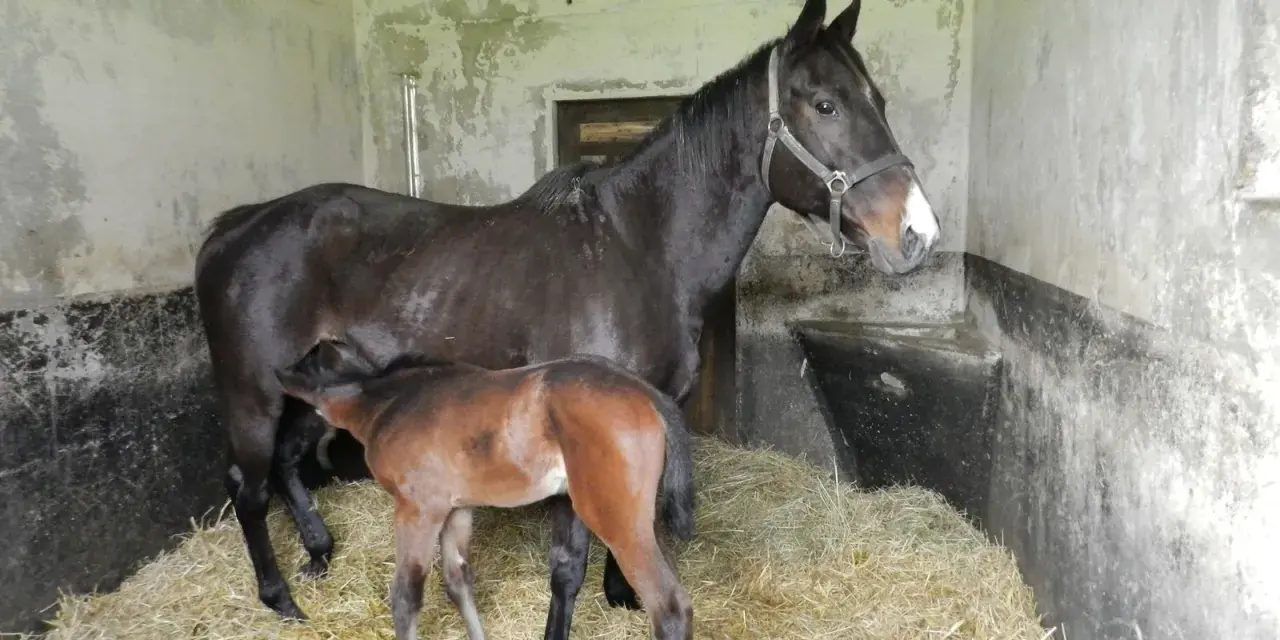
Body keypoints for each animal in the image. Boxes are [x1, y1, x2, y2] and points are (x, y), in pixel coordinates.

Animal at [274, 340, 696, 640]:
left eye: (296, 409)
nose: (282, 453)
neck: (392, 403)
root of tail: (649, 394)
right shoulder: (456, 509)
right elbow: (458, 582)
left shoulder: (417, 509)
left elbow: (406, 596)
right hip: (642, 520)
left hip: (615, 520)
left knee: (669, 608)